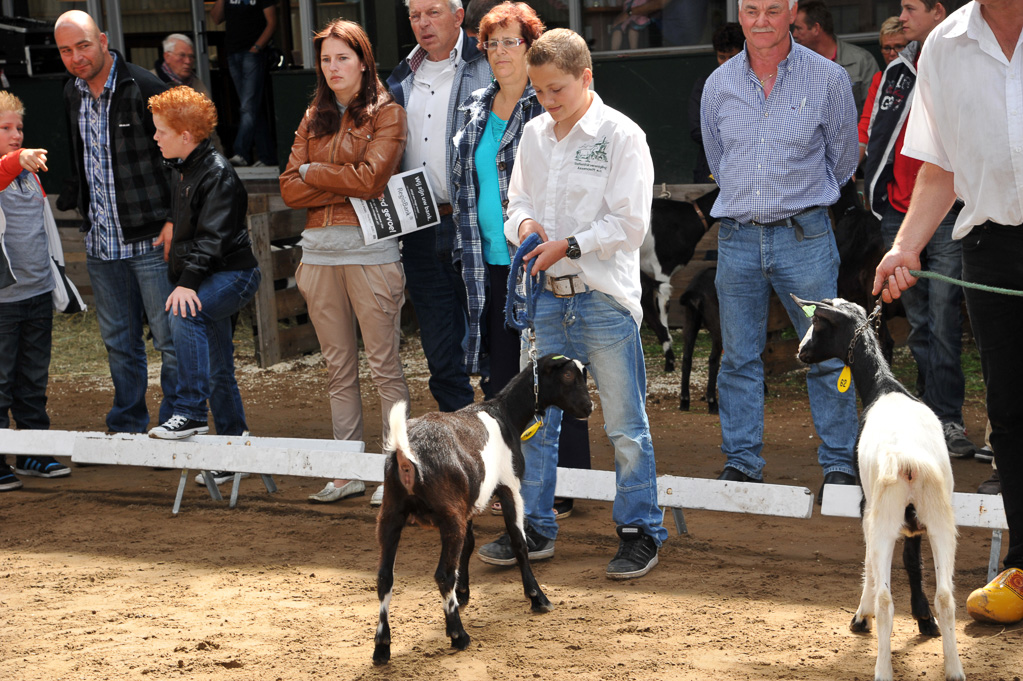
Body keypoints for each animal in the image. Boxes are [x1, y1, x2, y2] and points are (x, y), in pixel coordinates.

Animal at [372, 351, 593, 658]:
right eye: (569, 375)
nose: (589, 407)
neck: (505, 414)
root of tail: (406, 455)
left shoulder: (468, 503)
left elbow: (469, 545)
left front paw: (464, 592)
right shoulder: (510, 486)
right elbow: (519, 543)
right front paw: (537, 597)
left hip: (392, 512)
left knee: (385, 577)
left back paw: (382, 647)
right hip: (448, 514)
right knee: (442, 574)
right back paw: (458, 634)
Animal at [789, 294, 965, 678]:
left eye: (819, 323)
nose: (801, 351)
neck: (884, 387)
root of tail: (910, 464)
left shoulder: (865, 506)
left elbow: (869, 561)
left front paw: (861, 617)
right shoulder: (915, 524)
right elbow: (914, 562)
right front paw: (924, 619)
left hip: (884, 514)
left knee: (886, 599)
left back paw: (882, 666)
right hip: (940, 518)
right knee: (947, 595)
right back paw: (954, 668)